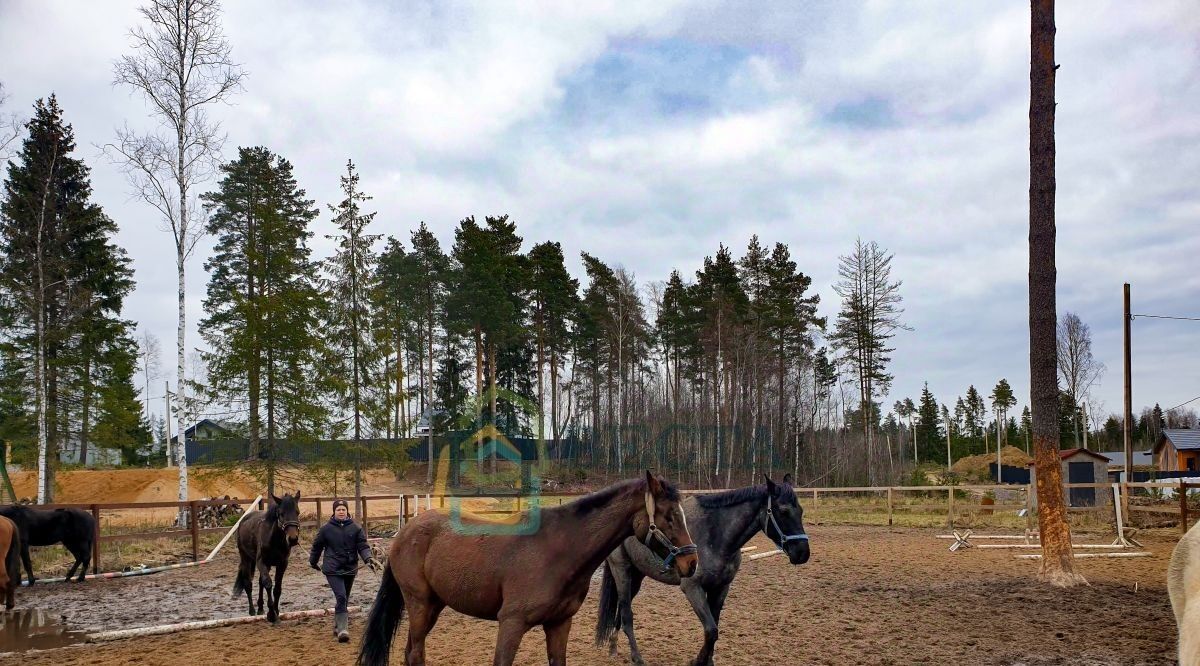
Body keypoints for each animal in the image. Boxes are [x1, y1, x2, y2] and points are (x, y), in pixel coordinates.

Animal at [231, 489, 300, 624]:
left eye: (297, 512)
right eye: (281, 514)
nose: (293, 539)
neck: (274, 539)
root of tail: (243, 520)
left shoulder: (282, 564)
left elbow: (277, 588)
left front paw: (276, 611)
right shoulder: (261, 562)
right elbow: (268, 584)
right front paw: (272, 615)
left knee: (259, 582)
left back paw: (260, 608)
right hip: (246, 559)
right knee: (248, 584)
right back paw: (252, 611)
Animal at [355, 468, 700, 666]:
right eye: (670, 516)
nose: (691, 562)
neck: (560, 550)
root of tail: (405, 532)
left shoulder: (559, 624)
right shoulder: (512, 623)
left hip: (432, 607)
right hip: (420, 605)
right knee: (416, 653)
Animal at [597, 475, 811, 666]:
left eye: (800, 511)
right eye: (783, 511)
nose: (802, 553)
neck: (715, 535)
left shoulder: (721, 588)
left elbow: (714, 627)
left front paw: (708, 661)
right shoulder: (693, 589)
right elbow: (711, 630)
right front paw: (698, 661)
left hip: (637, 576)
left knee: (620, 611)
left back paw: (613, 648)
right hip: (622, 571)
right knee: (626, 613)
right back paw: (636, 657)